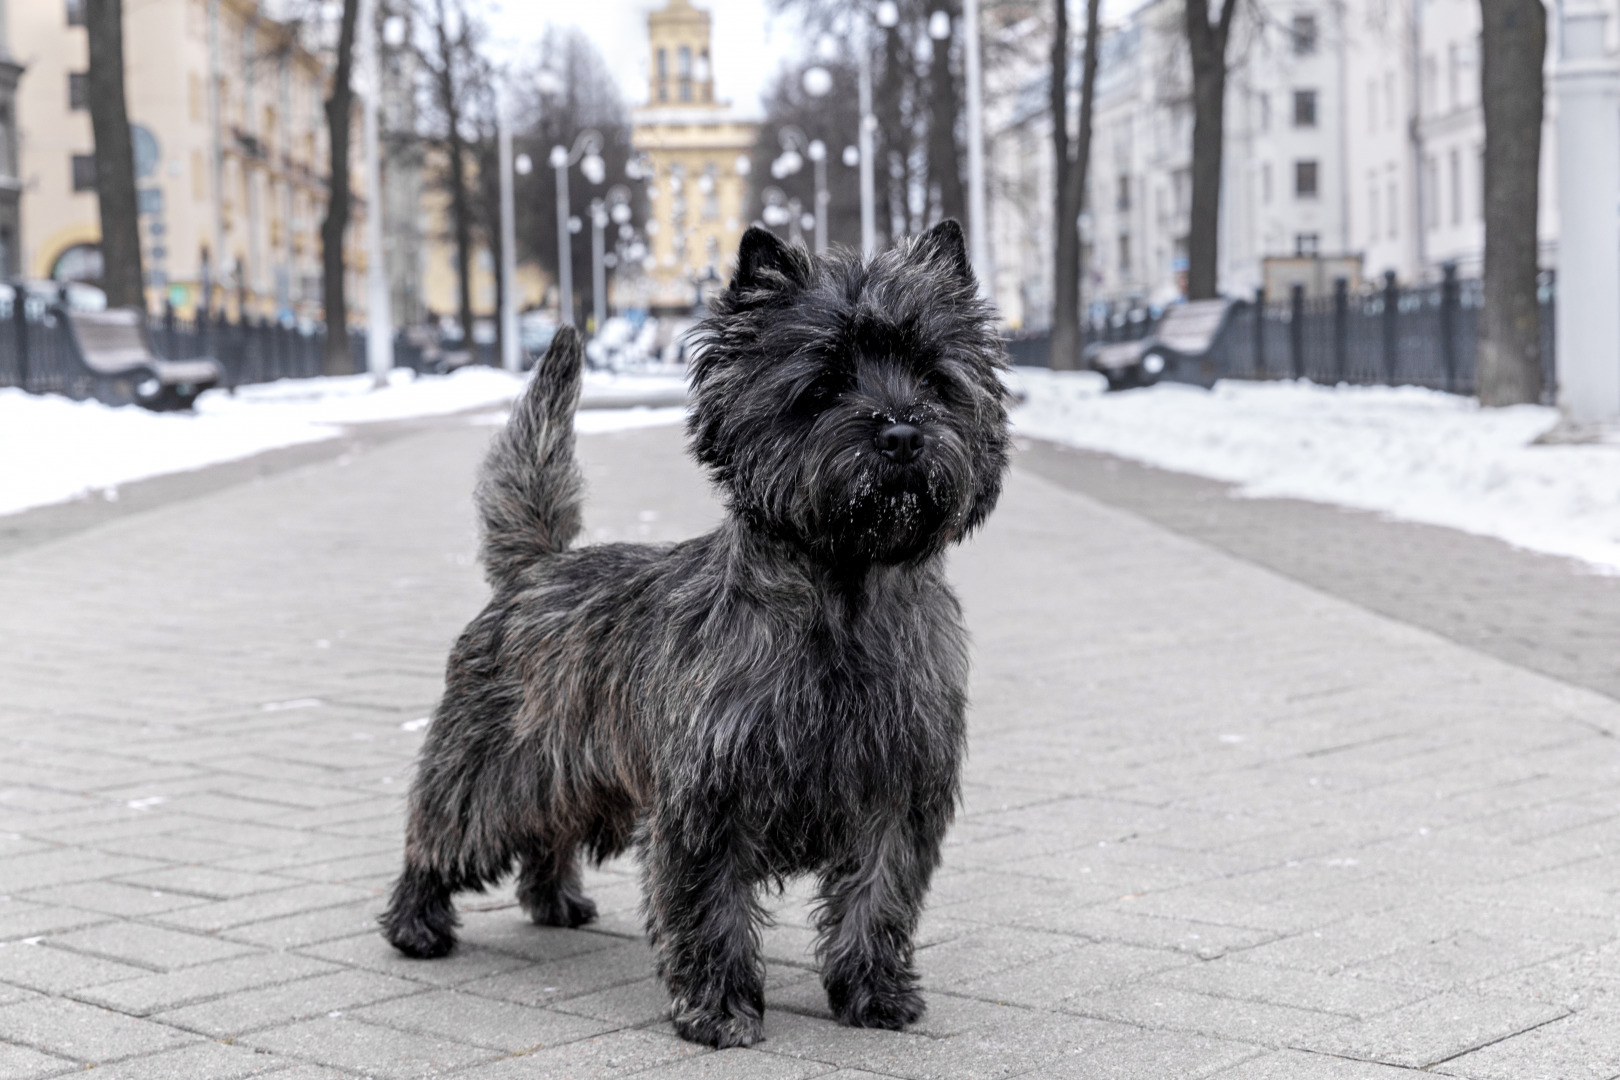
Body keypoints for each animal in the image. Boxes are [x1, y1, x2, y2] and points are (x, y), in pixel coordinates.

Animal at [383, 221, 1004, 1049]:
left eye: (935, 379)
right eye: (824, 385)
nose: (902, 433)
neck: (843, 599)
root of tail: (534, 565)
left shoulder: (897, 790)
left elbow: (879, 897)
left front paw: (874, 994)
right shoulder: (710, 795)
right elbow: (711, 906)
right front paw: (720, 1010)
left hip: (582, 774)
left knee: (548, 832)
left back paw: (556, 902)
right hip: (496, 762)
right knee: (444, 828)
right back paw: (416, 925)